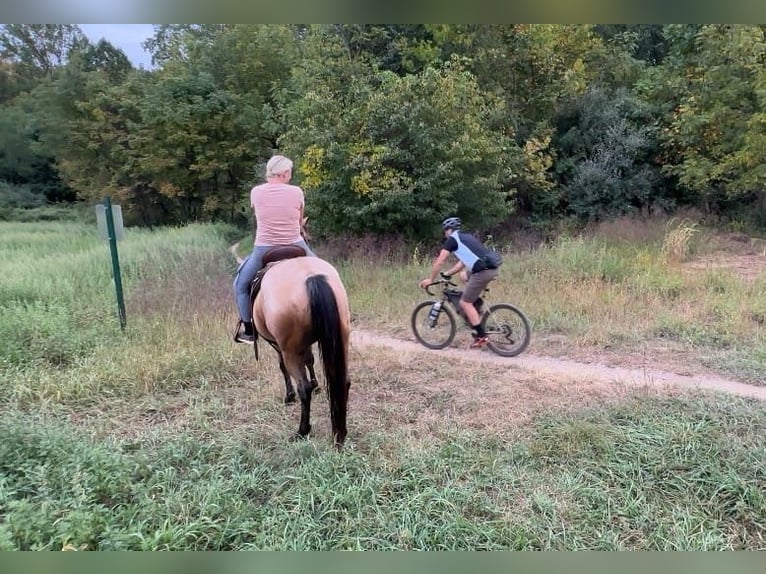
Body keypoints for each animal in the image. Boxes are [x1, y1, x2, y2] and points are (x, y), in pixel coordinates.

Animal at [249, 246, 352, 450]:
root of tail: (312, 277)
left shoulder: (279, 346)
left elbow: (283, 367)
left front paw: (289, 396)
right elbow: (310, 360)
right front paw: (316, 384)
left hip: (289, 350)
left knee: (303, 389)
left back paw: (302, 431)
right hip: (342, 338)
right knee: (343, 381)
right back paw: (340, 434)